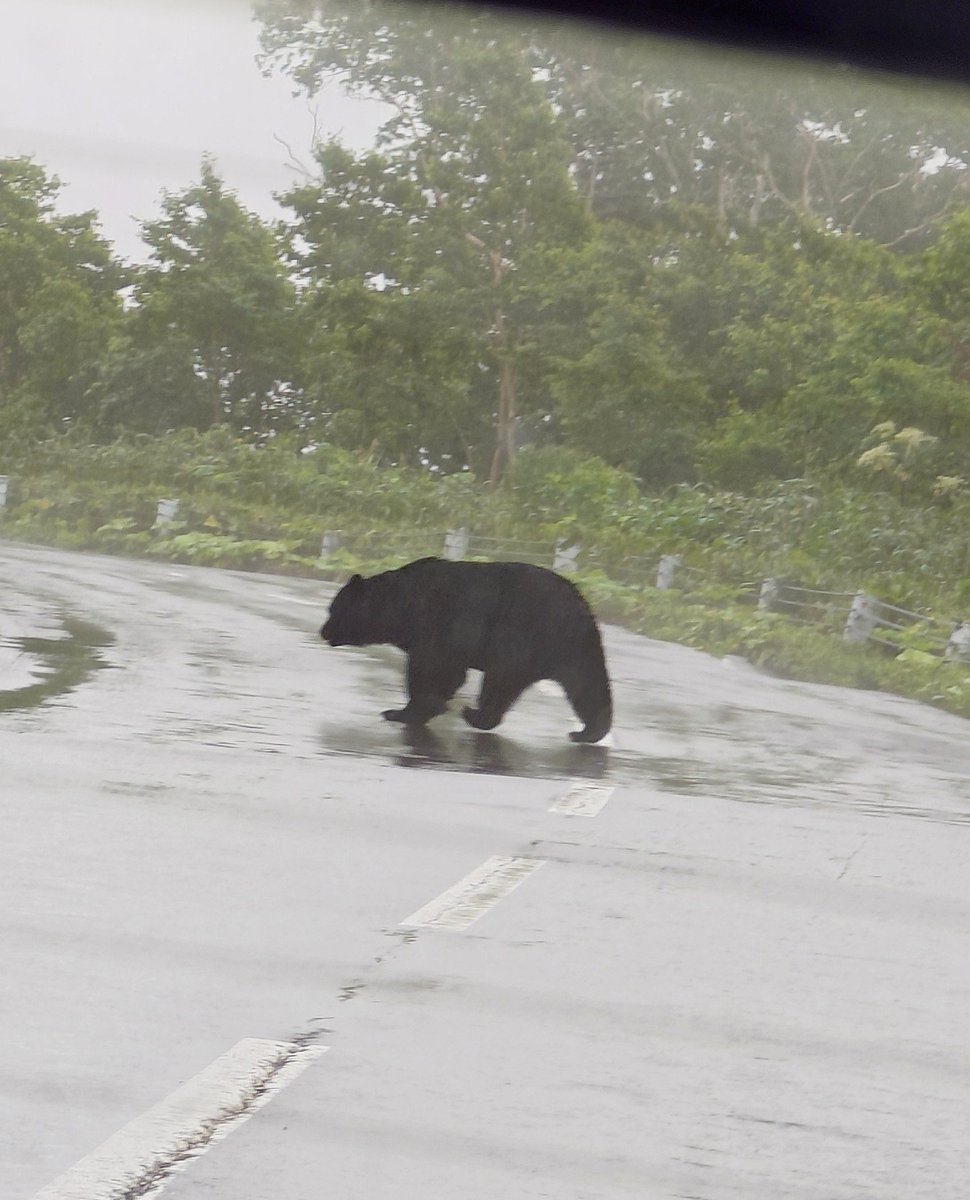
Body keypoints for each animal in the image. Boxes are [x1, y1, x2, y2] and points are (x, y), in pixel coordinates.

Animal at [320, 557, 612, 743]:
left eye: (333, 609)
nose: (323, 632)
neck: (400, 607)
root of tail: (582, 607)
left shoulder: (436, 623)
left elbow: (433, 669)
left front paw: (402, 712)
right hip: (573, 648)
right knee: (587, 686)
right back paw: (589, 731)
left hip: (522, 635)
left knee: (501, 682)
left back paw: (475, 714)